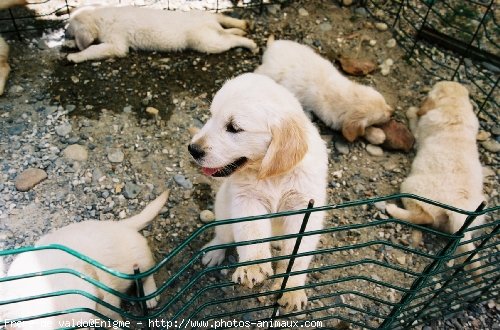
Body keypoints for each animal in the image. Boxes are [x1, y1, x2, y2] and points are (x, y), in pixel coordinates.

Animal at [0, 191, 169, 330]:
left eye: (86, 327)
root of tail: (120, 225)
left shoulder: (106, 300)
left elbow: (112, 317)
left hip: (140, 259)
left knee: (146, 276)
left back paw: (150, 296)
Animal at [66, 5, 258, 63]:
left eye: (71, 25)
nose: (65, 32)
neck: (102, 18)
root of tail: (208, 22)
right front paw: (69, 44)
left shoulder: (117, 44)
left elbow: (93, 49)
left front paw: (75, 56)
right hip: (208, 23)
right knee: (224, 24)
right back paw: (243, 26)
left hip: (206, 42)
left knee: (230, 39)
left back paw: (251, 44)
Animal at [188, 72, 328, 312]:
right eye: (211, 115)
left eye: (233, 127)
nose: (193, 149)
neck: (273, 175)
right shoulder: (247, 199)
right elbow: (251, 232)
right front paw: (252, 268)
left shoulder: (305, 207)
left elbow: (298, 253)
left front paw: (292, 289)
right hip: (223, 208)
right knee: (223, 234)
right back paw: (214, 251)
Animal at [256, 37, 392, 143]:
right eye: (381, 116)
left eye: (385, 102)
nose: (392, 112)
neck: (345, 97)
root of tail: (271, 47)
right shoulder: (338, 122)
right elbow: (360, 131)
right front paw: (376, 135)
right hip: (268, 72)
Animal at [386, 81, 484, 278]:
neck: (455, 110)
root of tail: (458, 212)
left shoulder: (419, 129)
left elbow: (414, 121)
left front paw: (411, 111)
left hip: (410, 187)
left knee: (425, 217)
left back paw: (391, 209)